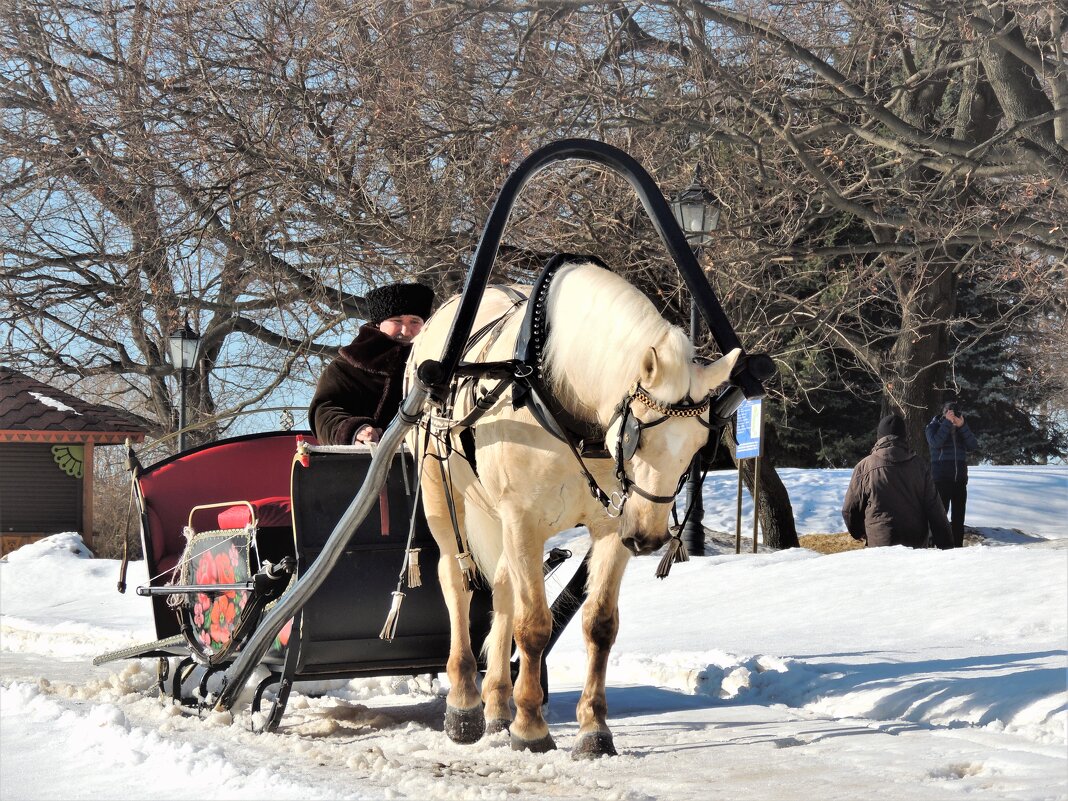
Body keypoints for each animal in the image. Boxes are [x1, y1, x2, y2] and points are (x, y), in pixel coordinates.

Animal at [403, 261, 739, 760]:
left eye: (700, 444)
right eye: (637, 435)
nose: (648, 537)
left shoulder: (610, 526)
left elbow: (599, 625)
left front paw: (593, 729)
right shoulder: (523, 519)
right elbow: (534, 626)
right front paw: (530, 727)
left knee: (501, 589)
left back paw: (496, 706)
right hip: (441, 495)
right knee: (456, 582)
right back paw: (464, 705)